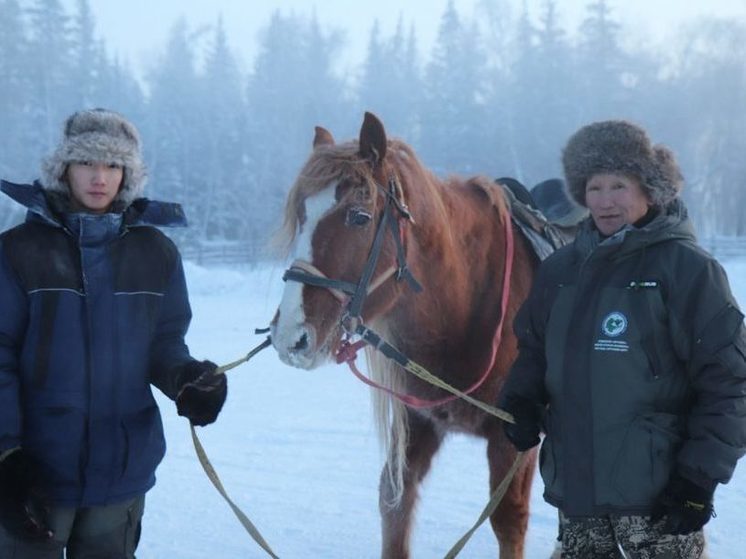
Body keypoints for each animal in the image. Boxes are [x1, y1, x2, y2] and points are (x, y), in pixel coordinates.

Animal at [270, 114, 536, 559]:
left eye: (359, 216)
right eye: (303, 213)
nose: (290, 334)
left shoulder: (513, 440)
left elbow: (508, 519)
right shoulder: (418, 422)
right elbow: (395, 499)